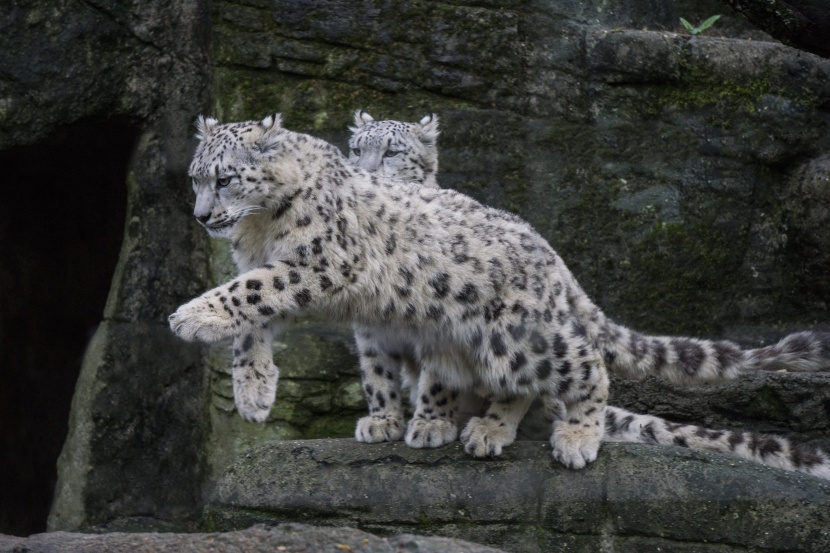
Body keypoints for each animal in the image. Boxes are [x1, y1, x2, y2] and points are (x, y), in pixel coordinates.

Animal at [169, 113, 830, 474]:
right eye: (195, 177)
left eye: (225, 178)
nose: (201, 217)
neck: (260, 228)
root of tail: (555, 264)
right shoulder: (277, 269)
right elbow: (254, 314)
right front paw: (254, 391)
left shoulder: (319, 262)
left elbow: (251, 292)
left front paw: (190, 316)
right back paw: (488, 429)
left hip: (519, 338)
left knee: (585, 369)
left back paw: (574, 438)